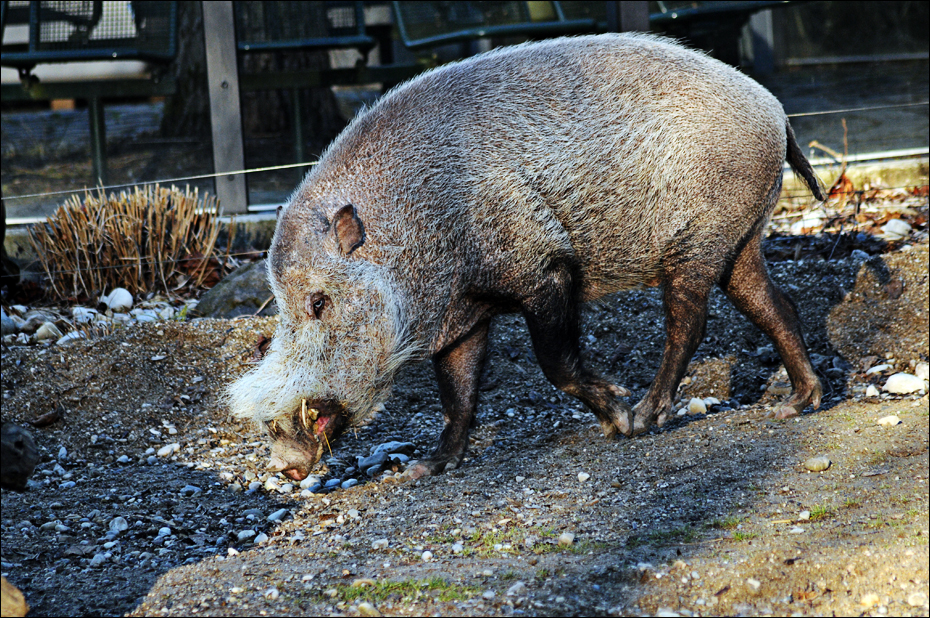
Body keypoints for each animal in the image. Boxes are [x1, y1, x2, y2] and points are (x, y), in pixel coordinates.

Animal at [228, 33, 825, 481]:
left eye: (318, 302)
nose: (283, 465)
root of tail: (776, 113)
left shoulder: (543, 266)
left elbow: (553, 361)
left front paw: (617, 420)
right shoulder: (463, 316)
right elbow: (457, 395)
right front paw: (423, 469)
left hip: (695, 245)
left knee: (689, 324)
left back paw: (648, 416)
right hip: (740, 240)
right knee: (777, 305)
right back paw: (796, 404)